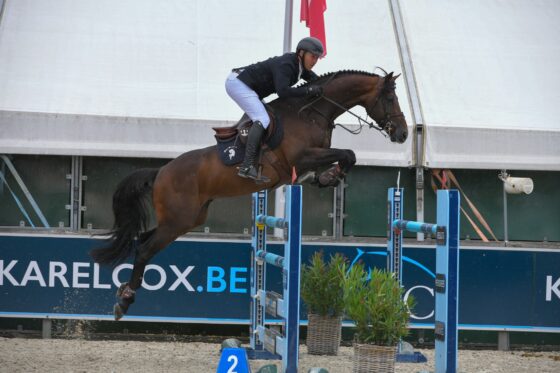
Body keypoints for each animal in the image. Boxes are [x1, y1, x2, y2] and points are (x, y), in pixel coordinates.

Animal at [91, 68, 406, 318]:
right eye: (390, 98)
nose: (402, 134)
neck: (312, 113)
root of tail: (161, 172)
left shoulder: (310, 159)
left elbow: (345, 157)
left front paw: (328, 177)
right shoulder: (302, 156)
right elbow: (348, 153)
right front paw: (331, 176)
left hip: (187, 220)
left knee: (141, 241)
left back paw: (124, 293)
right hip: (177, 221)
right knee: (145, 249)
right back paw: (125, 302)